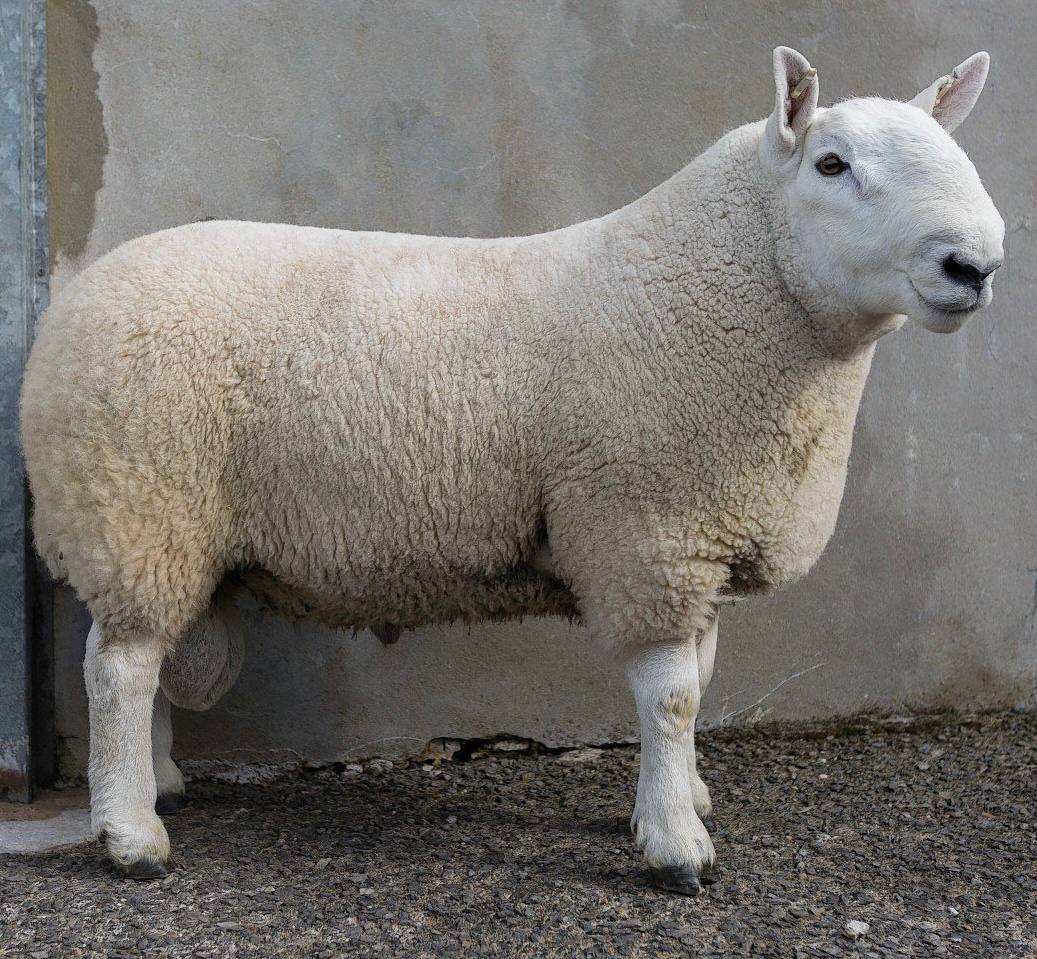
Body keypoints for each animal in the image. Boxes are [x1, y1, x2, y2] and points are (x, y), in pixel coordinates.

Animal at [20, 46, 1004, 892]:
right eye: (831, 164)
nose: (975, 265)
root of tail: (74, 303)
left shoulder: (697, 543)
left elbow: (701, 680)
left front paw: (681, 796)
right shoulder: (646, 531)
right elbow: (673, 696)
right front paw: (674, 844)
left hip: (166, 535)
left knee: (144, 657)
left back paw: (155, 781)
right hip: (138, 507)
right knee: (119, 668)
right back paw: (131, 835)